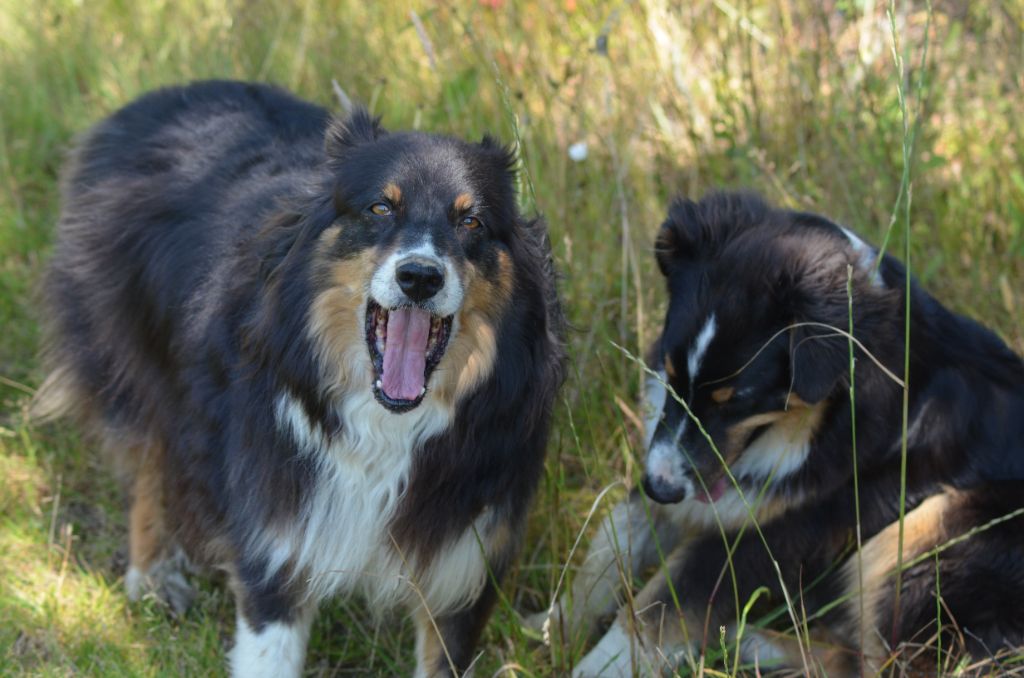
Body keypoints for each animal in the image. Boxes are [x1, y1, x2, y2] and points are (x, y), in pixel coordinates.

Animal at [39, 80, 565, 678]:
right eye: (380, 207)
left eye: (471, 222)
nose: (420, 277)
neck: (385, 425)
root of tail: (157, 97)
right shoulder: (277, 543)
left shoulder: (463, 565)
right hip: (135, 352)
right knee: (150, 456)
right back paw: (152, 573)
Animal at [548, 191, 1019, 678]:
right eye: (673, 374)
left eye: (735, 401)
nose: (662, 488)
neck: (815, 423)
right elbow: (608, 544)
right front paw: (549, 628)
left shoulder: (776, 533)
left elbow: (656, 607)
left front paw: (592, 666)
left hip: (936, 529)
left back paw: (740, 643)